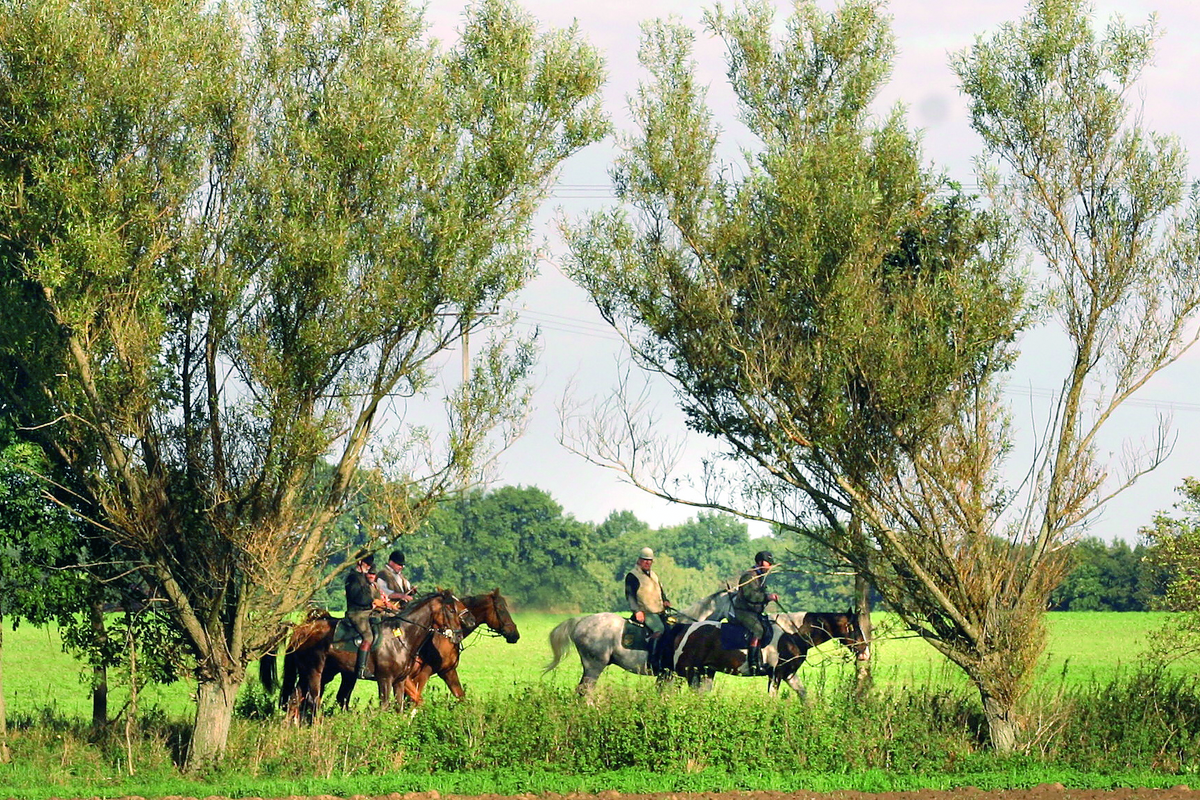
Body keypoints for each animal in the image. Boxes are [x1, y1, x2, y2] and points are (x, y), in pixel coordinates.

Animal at [261, 587, 472, 719]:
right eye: (451, 609)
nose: (458, 635)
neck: (401, 636)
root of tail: (303, 628)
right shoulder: (385, 679)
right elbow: (385, 706)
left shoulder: (400, 681)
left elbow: (399, 707)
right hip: (315, 671)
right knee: (313, 700)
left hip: (318, 673)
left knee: (295, 699)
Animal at [667, 609, 873, 695]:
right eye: (854, 628)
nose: (866, 652)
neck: (792, 633)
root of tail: (685, 629)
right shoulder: (776, 674)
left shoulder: (789, 674)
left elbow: (804, 696)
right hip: (688, 673)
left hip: (706, 673)